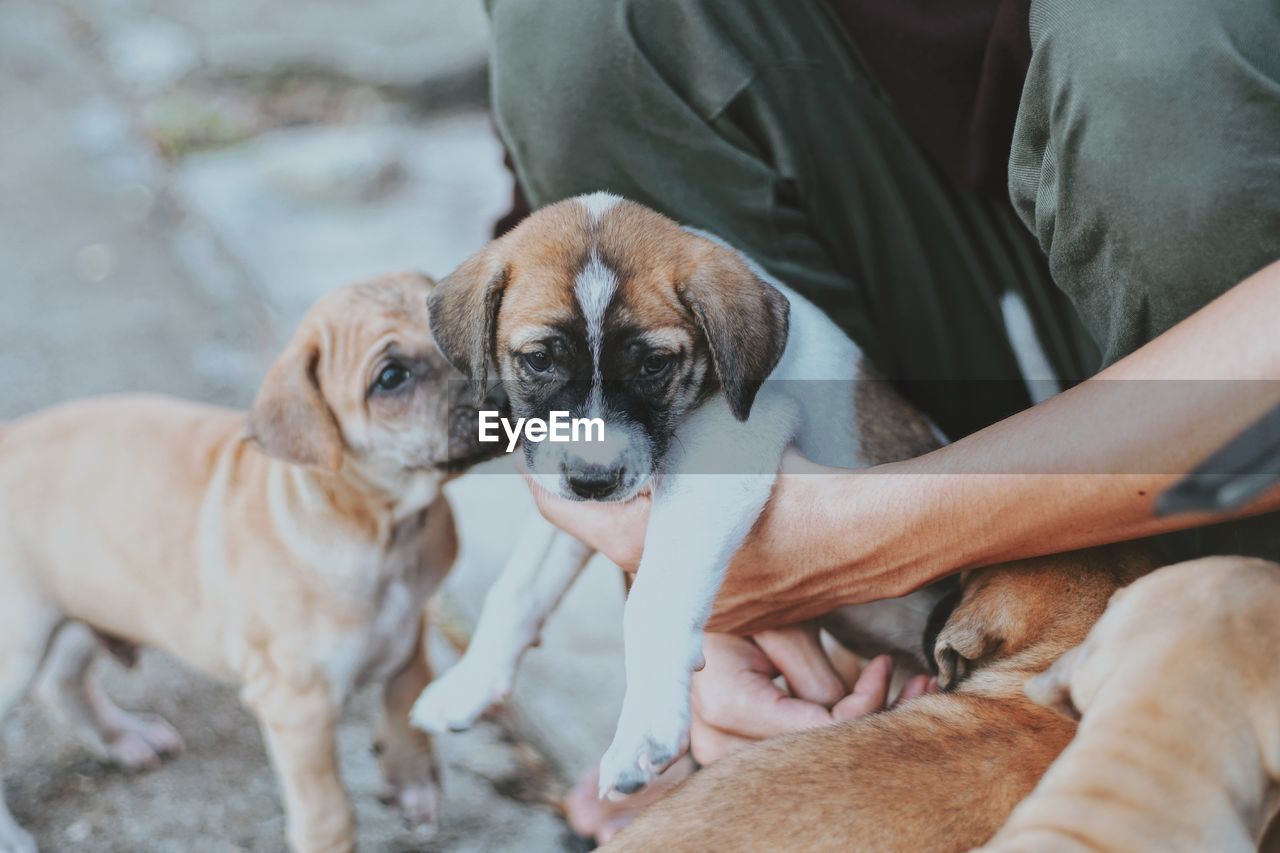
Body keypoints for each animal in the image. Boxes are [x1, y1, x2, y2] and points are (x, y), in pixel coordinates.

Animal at [0, 272, 494, 850]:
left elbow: (406, 693)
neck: (380, 527)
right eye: (391, 377)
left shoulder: (410, 625)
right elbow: (327, 810)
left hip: (92, 597)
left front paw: (412, 776)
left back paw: (122, 737)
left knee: (61, 681)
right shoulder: (296, 707)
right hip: (21, 640)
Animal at [409, 195, 952, 794]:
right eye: (539, 359)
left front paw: (644, 731)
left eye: (653, 365)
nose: (595, 481)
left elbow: (653, 598)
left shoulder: (728, 445)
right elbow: (518, 588)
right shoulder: (569, 494)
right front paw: (469, 684)